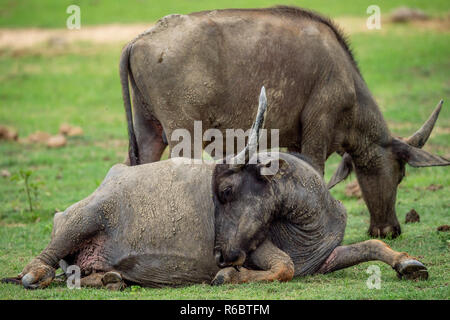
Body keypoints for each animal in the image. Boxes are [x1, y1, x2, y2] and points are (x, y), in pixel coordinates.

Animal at [1, 88, 428, 290]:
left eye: (225, 190)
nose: (220, 256)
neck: (308, 224)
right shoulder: (257, 249)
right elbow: (285, 268)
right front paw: (228, 278)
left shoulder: (324, 258)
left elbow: (371, 245)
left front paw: (409, 263)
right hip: (82, 219)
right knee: (45, 262)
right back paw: (35, 275)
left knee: (83, 273)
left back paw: (110, 279)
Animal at [120, 5, 450, 238]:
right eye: (401, 175)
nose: (390, 230)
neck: (346, 81)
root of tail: (140, 40)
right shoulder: (318, 131)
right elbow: (316, 175)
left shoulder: (291, 142)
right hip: (183, 134)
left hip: (149, 133)